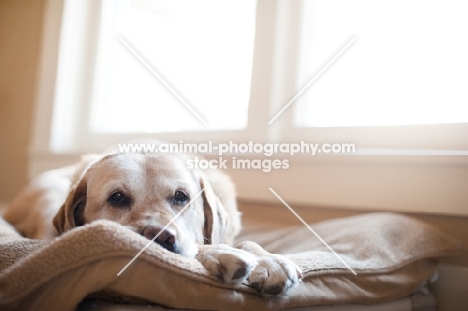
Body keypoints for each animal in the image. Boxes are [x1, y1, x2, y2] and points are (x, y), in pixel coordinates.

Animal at [4, 150, 304, 296]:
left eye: (181, 196)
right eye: (117, 198)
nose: (159, 236)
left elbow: (247, 243)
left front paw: (269, 261)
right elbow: (201, 248)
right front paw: (222, 255)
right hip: (48, 195)